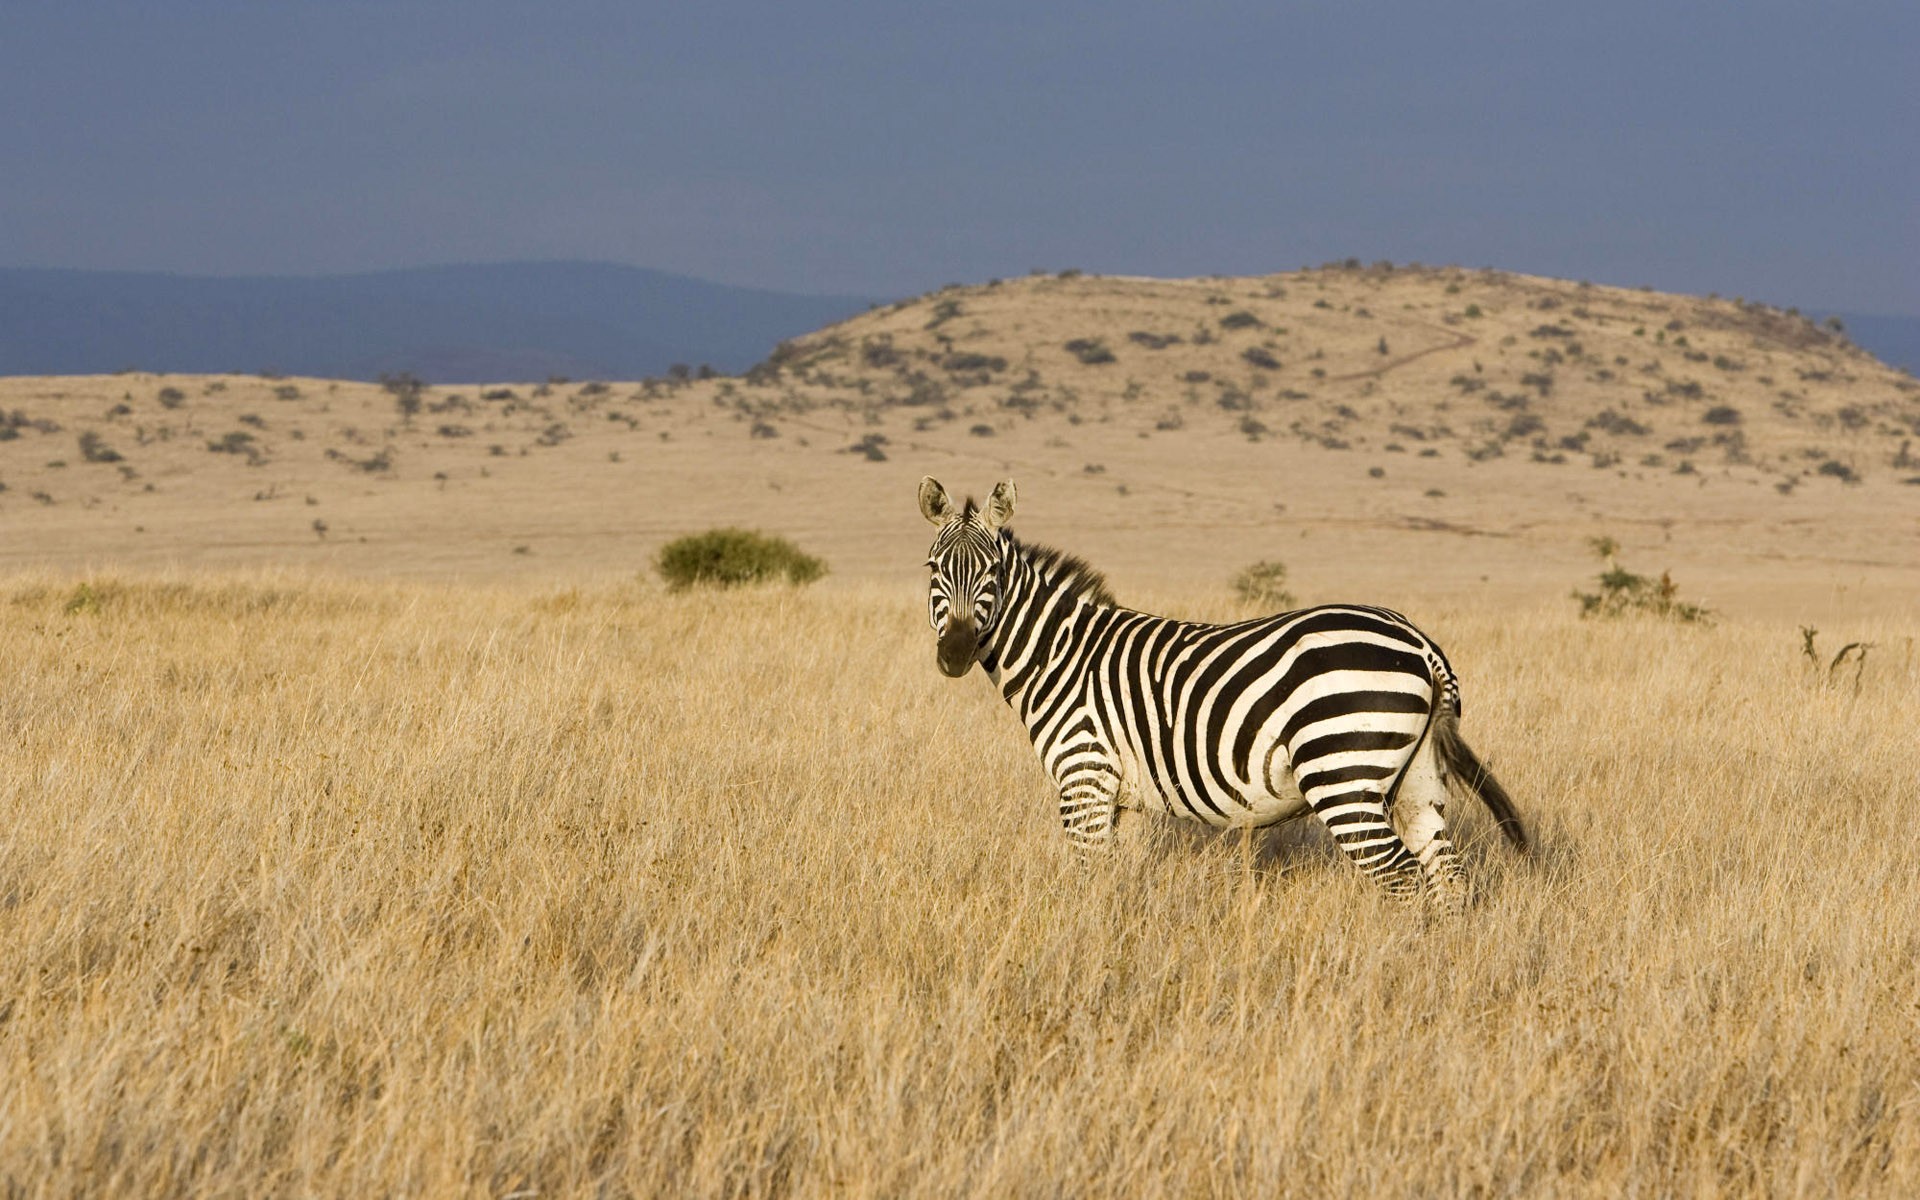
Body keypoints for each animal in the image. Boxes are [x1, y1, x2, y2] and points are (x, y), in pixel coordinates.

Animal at [918, 476, 1528, 908]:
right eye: (933, 568)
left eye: (993, 572)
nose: (955, 654)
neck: (1063, 655)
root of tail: (1419, 642)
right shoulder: (1125, 798)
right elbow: (1118, 882)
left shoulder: (1083, 778)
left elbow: (1088, 881)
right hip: (1417, 779)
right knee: (1446, 876)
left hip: (1343, 772)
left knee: (1401, 877)